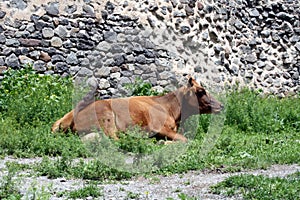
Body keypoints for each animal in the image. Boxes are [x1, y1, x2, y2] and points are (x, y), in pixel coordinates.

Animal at [51, 76, 223, 142]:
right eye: (201, 91)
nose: (221, 105)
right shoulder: (157, 127)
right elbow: (185, 139)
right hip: (106, 117)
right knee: (115, 140)